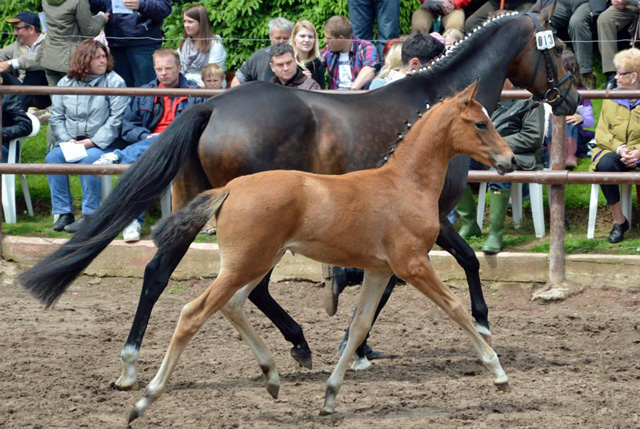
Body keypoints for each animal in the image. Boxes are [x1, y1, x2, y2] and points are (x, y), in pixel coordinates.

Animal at [129, 83, 516, 422]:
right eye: (480, 123)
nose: (510, 160)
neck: (405, 183)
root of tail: (229, 189)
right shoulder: (413, 265)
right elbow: (455, 308)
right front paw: (498, 371)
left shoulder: (380, 270)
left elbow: (359, 326)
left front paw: (330, 396)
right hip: (245, 264)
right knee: (193, 313)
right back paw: (144, 398)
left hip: (257, 261)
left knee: (234, 304)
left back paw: (273, 376)